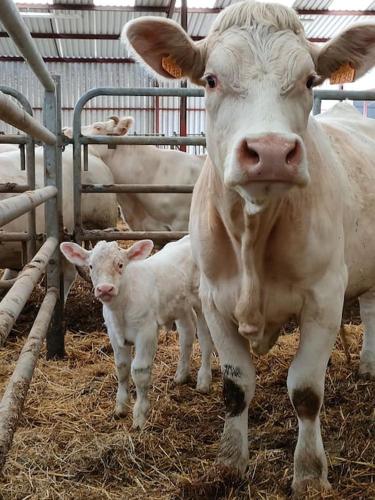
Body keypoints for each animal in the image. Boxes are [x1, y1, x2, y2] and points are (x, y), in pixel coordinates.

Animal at [61, 236, 214, 428]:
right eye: (91, 266)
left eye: (120, 264)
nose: (105, 289)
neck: (120, 308)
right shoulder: (113, 333)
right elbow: (122, 367)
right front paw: (120, 407)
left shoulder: (146, 332)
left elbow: (139, 370)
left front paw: (140, 415)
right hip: (180, 305)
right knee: (187, 332)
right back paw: (181, 375)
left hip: (202, 302)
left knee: (205, 338)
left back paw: (204, 381)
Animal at [125, 1, 375, 494]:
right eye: (211, 79)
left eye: (309, 80)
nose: (272, 151)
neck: (252, 238)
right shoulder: (213, 300)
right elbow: (236, 387)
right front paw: (229, 463)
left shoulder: (324, 298)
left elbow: (306, 391)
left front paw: (309, 474)